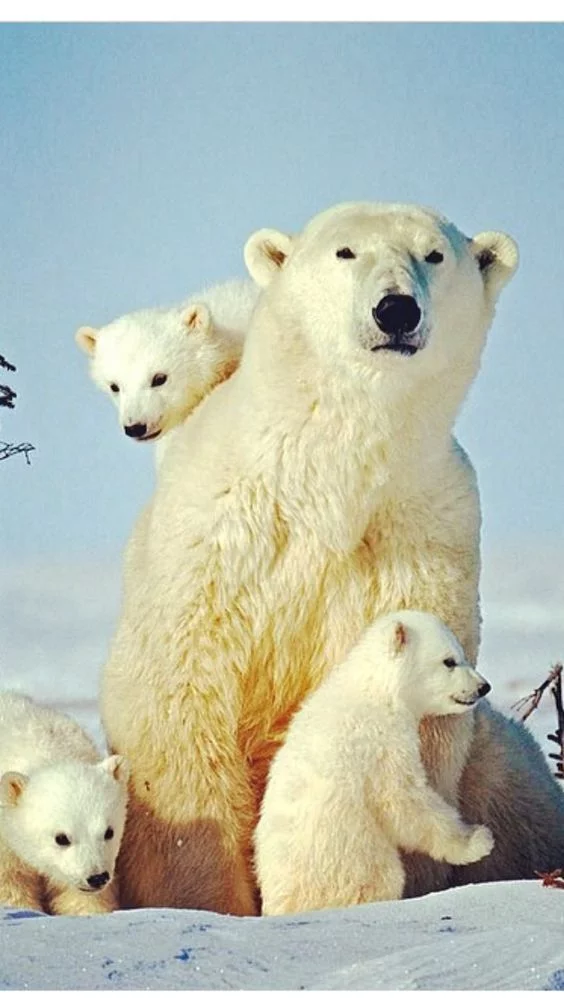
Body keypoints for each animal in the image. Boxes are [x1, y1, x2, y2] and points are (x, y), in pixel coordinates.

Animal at [101, 201, 564, 916]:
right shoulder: (217, 537)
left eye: (434, 254)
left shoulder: (426, 529)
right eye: (345, 252)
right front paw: (204, 897)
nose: (396, 310)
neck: (331, 473)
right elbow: (179, 702)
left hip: (508, 772)